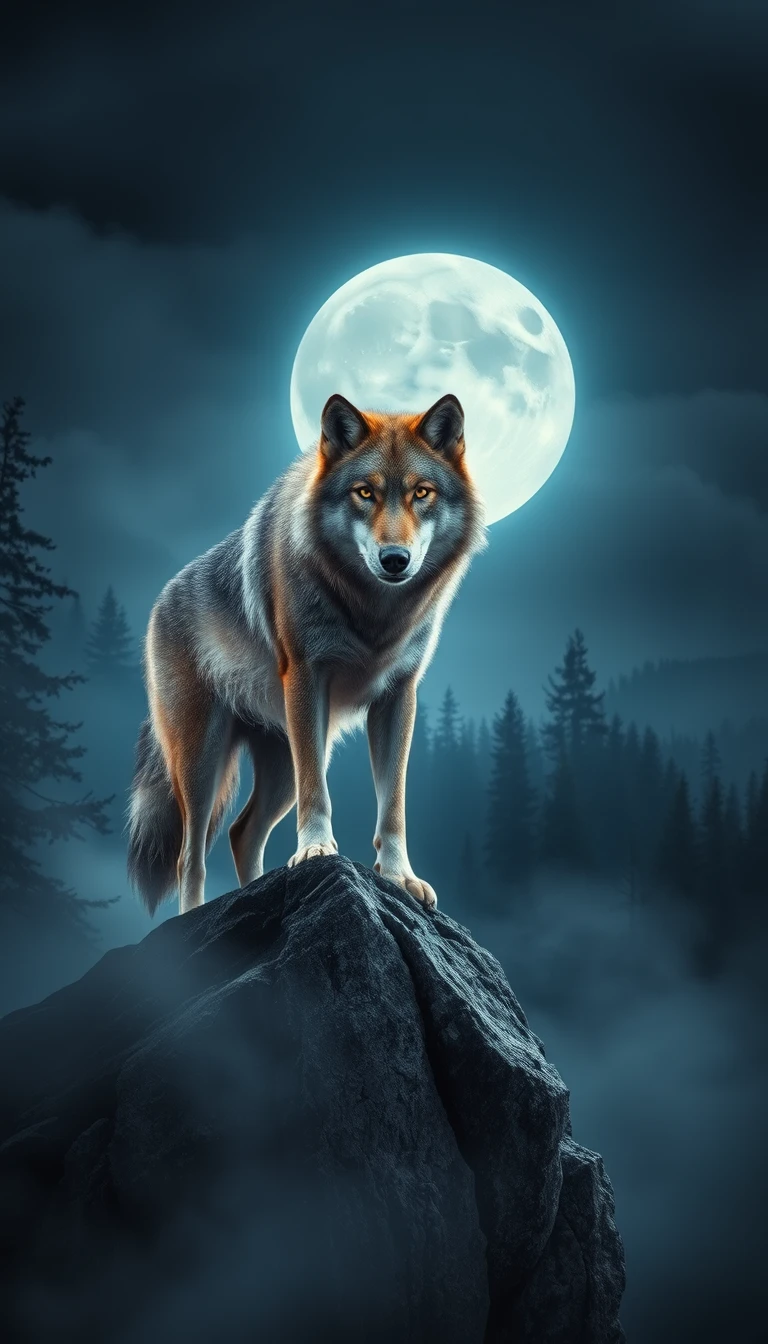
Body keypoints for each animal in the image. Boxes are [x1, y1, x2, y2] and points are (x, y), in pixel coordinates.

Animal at [126, 391, 487, 916]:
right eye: (364, 492)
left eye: (421, 493)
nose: (394, 560)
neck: (373, 614)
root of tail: (159, 601)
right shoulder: (306, 679)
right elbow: (318, 791)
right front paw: (316, 850)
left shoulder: (399, 697)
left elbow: (393, 805)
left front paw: (399, 877)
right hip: (203, 762)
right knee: (189, 857)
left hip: (280, 765)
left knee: (241, 833)